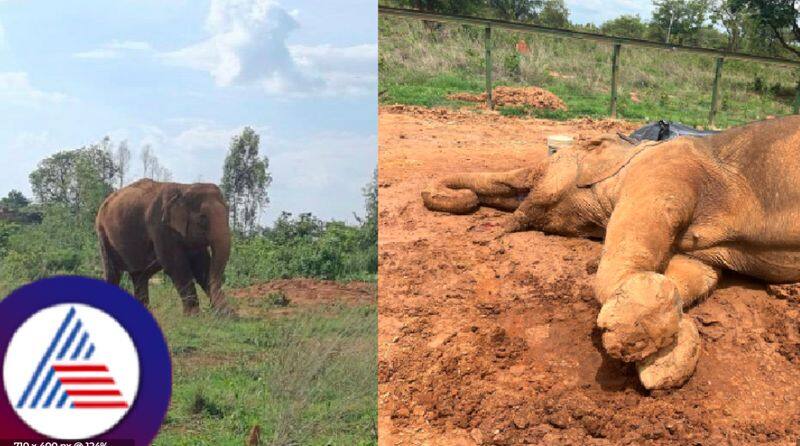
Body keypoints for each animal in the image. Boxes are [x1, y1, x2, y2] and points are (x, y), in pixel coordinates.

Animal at [95, 179, 234, 316]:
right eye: (202, 219)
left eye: (228, 213)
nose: (213, 309)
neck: (184, 188)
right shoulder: (159, 226)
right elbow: (175, 265)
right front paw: (193, 316)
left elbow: (201, 264)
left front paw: (227, 315)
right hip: (103, 235)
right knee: (113, 273)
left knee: (139, 276)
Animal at [418, 115, 800, 390]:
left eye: (544, 169)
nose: (471, 203)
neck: (633, 145)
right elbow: (692, 272)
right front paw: (667, 363)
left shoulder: (663, 170)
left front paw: (630, 342)